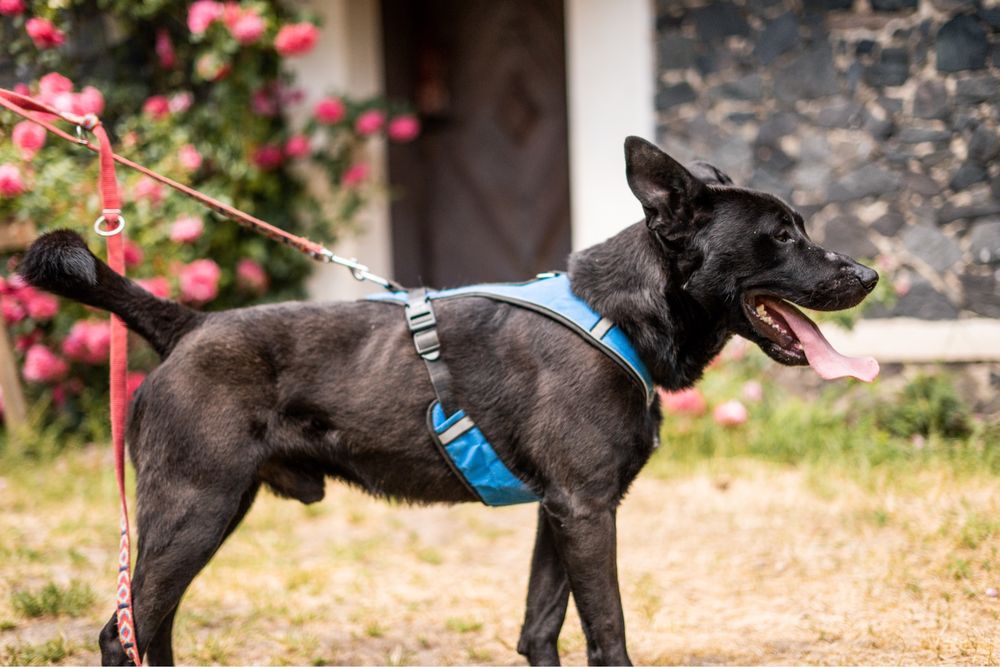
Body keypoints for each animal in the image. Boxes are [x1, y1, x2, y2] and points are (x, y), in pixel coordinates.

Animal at [19, 137, 880, 667]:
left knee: (149, 628)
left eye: (801, 226)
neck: (618, 314)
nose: (869, 273)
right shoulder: (587, 509)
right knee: (121, 632)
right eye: (781, 235)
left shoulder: (560, 512)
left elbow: (539, 630)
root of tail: (189, 323)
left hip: (208, 514)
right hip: (192, 509)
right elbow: (607, 634)